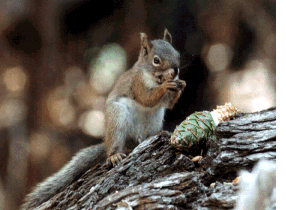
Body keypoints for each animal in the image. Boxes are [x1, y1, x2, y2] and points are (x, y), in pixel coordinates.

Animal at [20, 28, 185, 210]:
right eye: (156, 60)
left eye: (177, 54)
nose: (176, 71)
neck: (153, 77)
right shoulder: (137, 83)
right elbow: (147, 98)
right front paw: (165, 86)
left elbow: (169, 103)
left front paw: (181, 84)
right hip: (117, 117)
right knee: (114, 145)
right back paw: (114, 155)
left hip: (155, 119)